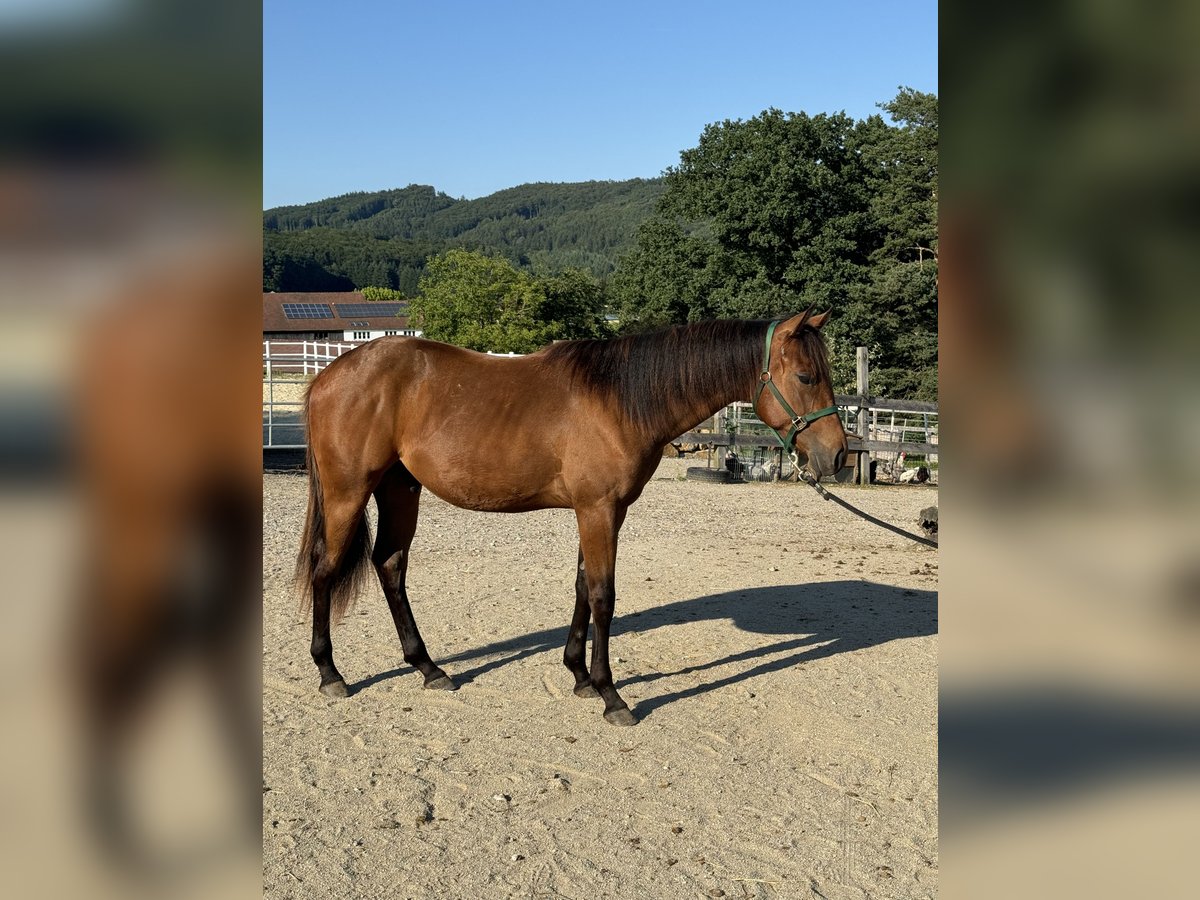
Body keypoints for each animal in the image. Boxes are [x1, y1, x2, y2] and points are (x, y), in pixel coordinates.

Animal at [295, 309, 849, 724]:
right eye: (806, 376)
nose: (838, 456)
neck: (619, 398)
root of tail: (328, 376)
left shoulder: (602, 512)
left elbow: (584, 586)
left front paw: (579, 677)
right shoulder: (598, 510)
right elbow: (603, 595)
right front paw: (610, 695)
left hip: (399, 490)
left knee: (390, 564)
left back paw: (428, 668)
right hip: (348, 493)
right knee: (325, 570)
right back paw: (330, 673)